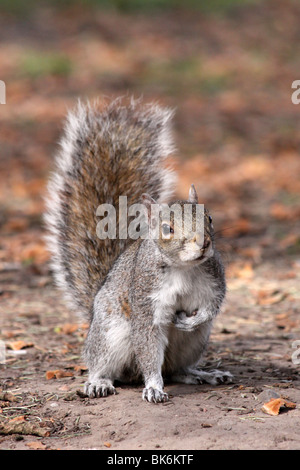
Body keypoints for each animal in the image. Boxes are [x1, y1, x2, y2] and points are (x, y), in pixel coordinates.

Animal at [44, 97, 232, 402]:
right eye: (167, 229)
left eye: (210, 217)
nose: (203, 243)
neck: (183, 268)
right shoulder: (146, 303)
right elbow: (148, 347)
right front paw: (154, 387)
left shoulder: (213, 281)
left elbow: (211, 307)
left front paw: (190, 320)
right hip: (110, 336)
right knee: (104, 364)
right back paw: (98, 382)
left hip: (195, 342)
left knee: (176, 370)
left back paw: (202, 374)